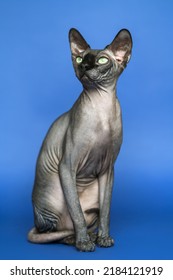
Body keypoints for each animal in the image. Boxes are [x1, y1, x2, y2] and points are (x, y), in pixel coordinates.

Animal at [28, 27, 132, 252]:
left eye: (102, 60)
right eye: (79, 58)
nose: (84, 66)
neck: (102, 108)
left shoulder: (108, 169)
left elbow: (106, 211)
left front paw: (103, 238)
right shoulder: (67, 166)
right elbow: (76, 213)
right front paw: (83, 242)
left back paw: (91, 236)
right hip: (53, 197)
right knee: (55, 231)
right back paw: (74, 239)